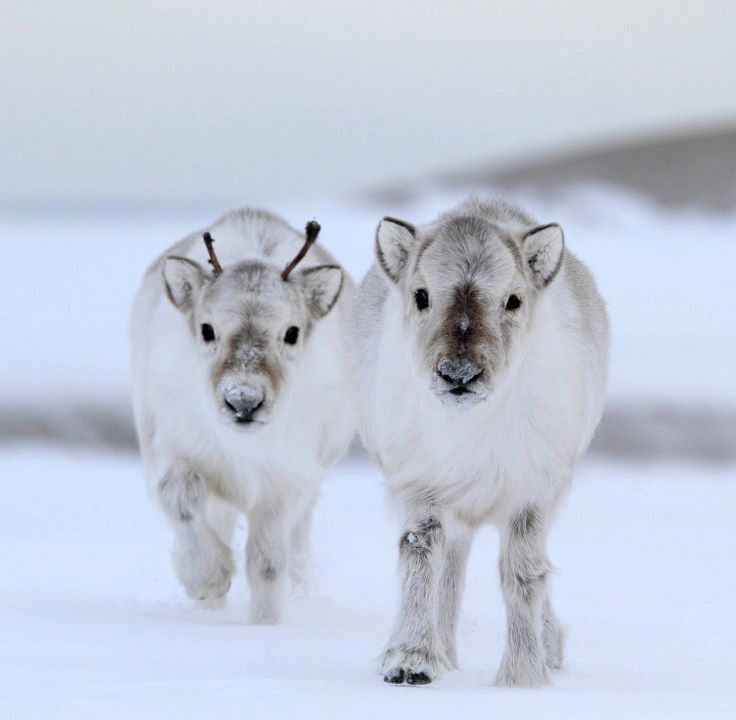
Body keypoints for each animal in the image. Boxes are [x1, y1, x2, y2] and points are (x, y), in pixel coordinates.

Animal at [131, 205, 356, 620]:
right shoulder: (172, 448)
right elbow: (179, 499)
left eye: (292, 332)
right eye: (206, 329)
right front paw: (208, 580)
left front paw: (265, 623)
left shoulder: (287, 482)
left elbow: (266, 564)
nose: (243, 402)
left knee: (297, 544)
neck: (244, 447)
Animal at [350, 195, 608, 688]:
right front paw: (410, 661)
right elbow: (419, 555)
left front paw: (523, 676)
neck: (471, 426)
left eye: (513, 300)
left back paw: (550, 648)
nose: (459, 374)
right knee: (450, 571)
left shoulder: (533, 493)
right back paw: (445, 657)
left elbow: (523, 574)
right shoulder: (422, 487)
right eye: (421, 295)